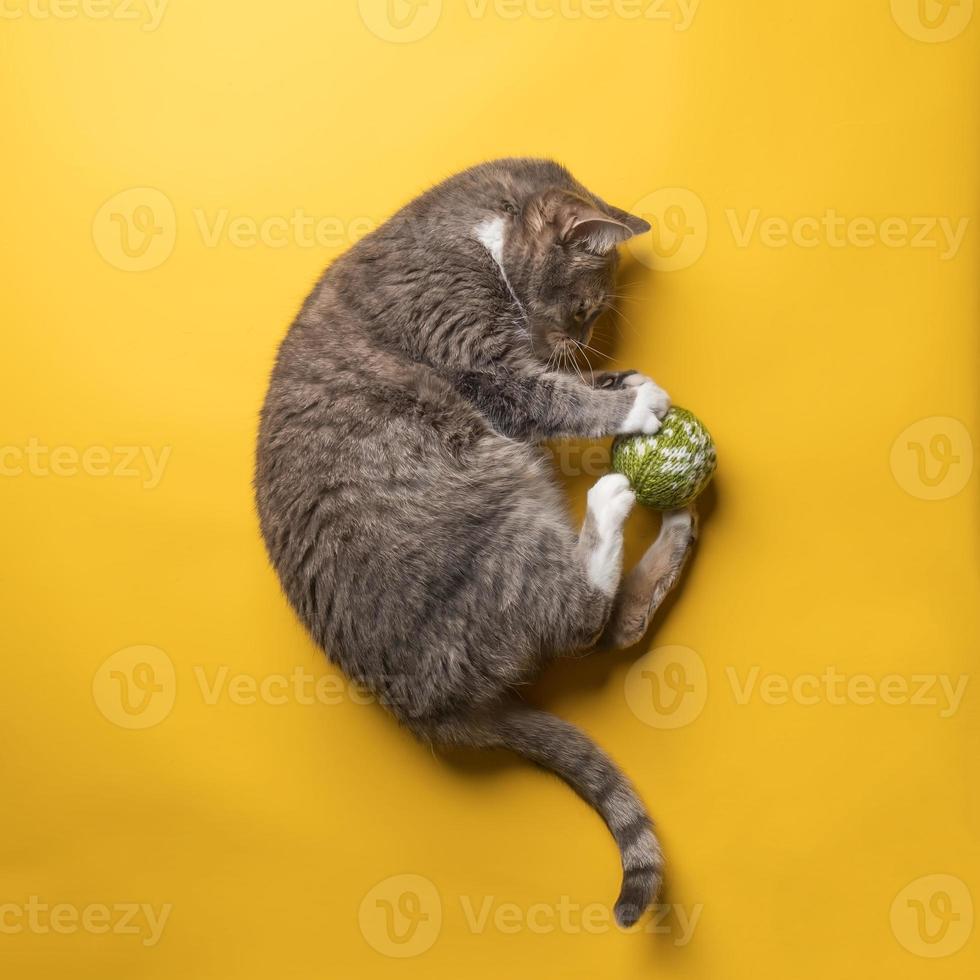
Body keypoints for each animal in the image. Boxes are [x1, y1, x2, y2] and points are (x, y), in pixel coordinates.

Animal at [253, 159, 696, 928]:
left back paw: (671, 532)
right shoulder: (476, 355)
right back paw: (612, 502)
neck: (476, 235)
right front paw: (632, 401)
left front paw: (618, 376)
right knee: (582, 622)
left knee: (616, 629)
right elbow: (547, 396)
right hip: (498, 499)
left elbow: (561, 385)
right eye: (584, 309)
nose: (576, 341)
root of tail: (431, 708)